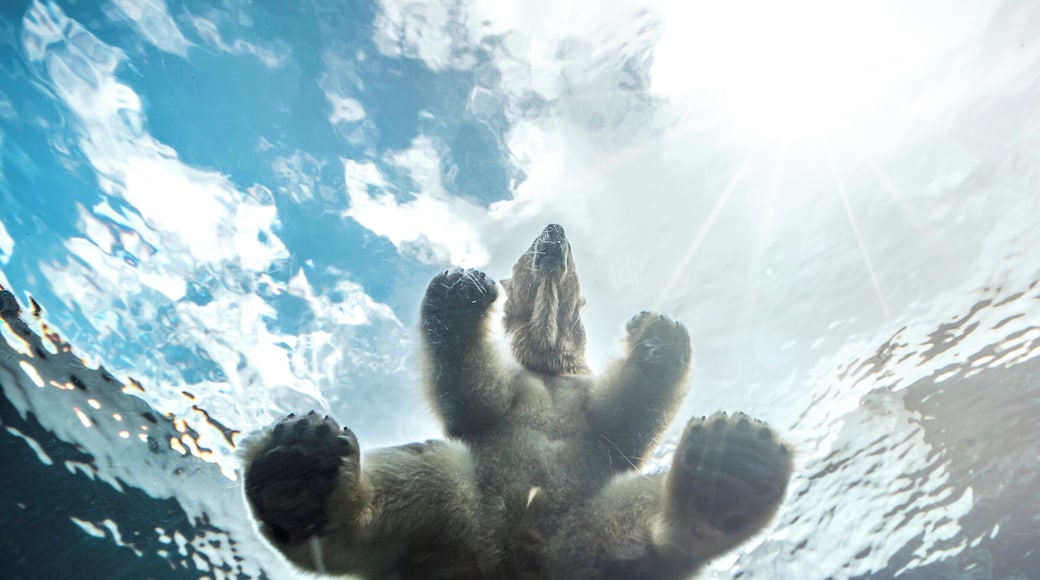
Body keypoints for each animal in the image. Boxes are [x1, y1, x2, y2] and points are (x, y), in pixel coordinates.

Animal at [242, 224, 792, 579]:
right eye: (527, 250)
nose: (553, 229)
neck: (547, 364)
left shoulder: (581, 399)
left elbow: (625, 421)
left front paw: (659, 332)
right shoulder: (511, 392)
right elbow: (473, 395)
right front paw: (458, 291)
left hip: (594, 527)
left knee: (647, 510)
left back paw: (733, 465)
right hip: (458, 515)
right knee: (421, 474)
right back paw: (300, 469)